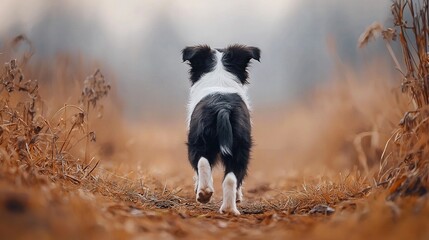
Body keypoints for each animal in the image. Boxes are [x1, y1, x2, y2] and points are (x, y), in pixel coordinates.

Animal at [180, 44, 260, 215]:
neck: (219, 76)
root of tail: (222, 107)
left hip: (197, 141)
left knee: (202, 162)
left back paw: (204, 193)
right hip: (240, 147)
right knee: (230, 178)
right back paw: (229, 209)